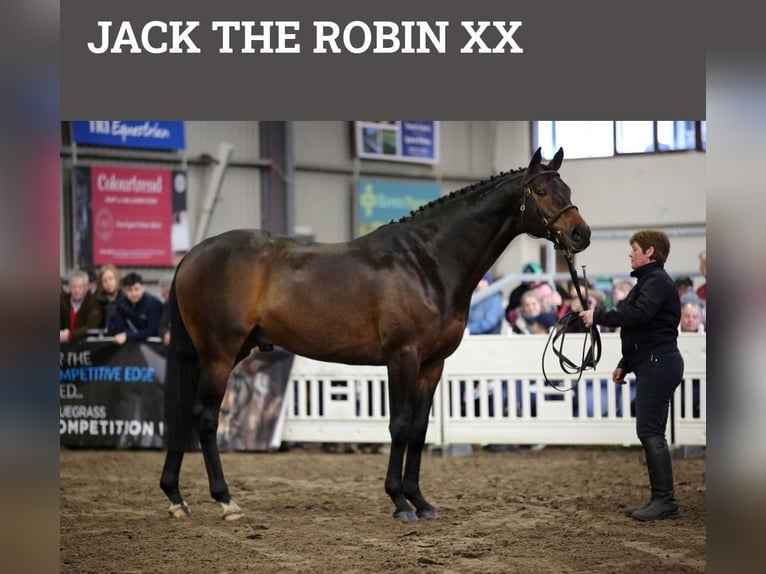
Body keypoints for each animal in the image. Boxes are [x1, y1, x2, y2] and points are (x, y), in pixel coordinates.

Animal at [160, 147, 591, 522]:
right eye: (540, 191)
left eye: (569, 190)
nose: (580, 235)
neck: (426, 262)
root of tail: (193, 255)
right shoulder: (402, 356)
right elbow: (398, 425)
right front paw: (399, 502)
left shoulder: (432, 364)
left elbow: (418, 429)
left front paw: (420, 501)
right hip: (218, 354)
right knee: (204, 418)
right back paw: (225, 500)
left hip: (223, 353)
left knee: (182, 415)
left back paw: (176, 498)